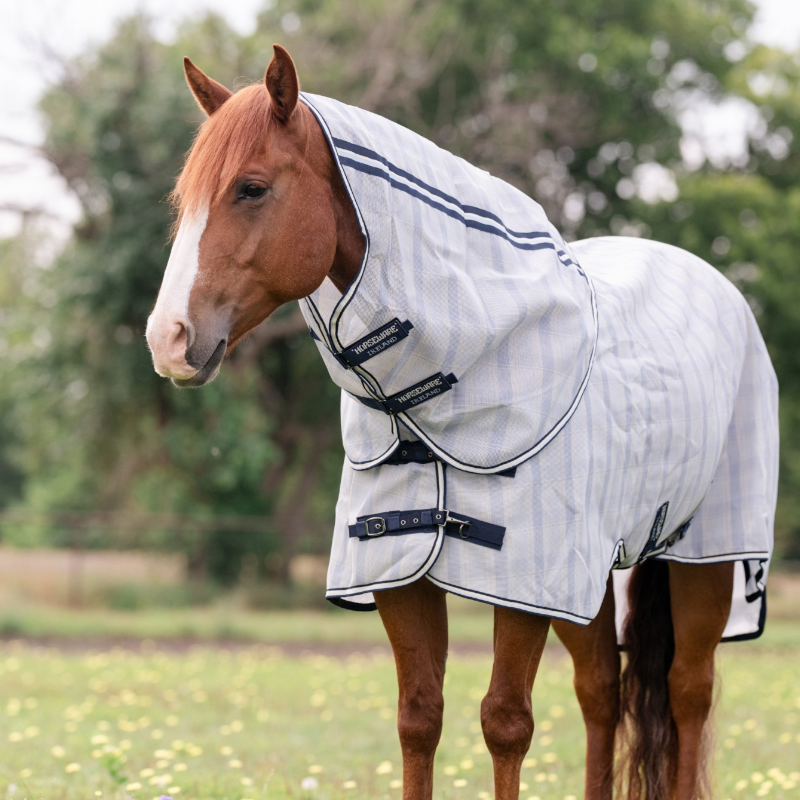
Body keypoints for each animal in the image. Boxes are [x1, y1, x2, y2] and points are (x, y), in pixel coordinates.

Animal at [145, 46, 778, 800]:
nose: (169, 338)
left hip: (703, 559)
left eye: (251, 188)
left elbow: (505, 722)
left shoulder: (526, 583)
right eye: (185, 202)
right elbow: (420, 717)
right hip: (593, 579)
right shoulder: (399, 571)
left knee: (688, 691)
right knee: (602, 692)